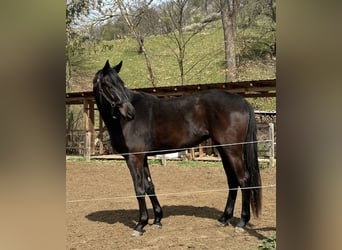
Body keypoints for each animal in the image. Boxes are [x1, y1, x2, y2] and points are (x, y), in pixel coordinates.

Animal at [92, 59, 260, 235]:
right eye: (108, 84)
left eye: (121, 83)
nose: (130, 112)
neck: (122, 122)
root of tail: (243, 102)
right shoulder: (143, 157)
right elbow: (149, 186)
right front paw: (157, 220)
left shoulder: (134, 158)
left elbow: (139, 189)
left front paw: (140, 224)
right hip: (223, 149)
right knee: (232, 181)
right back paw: (224, 219)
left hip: (232, 149)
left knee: (244, 179)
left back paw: (242, 222)